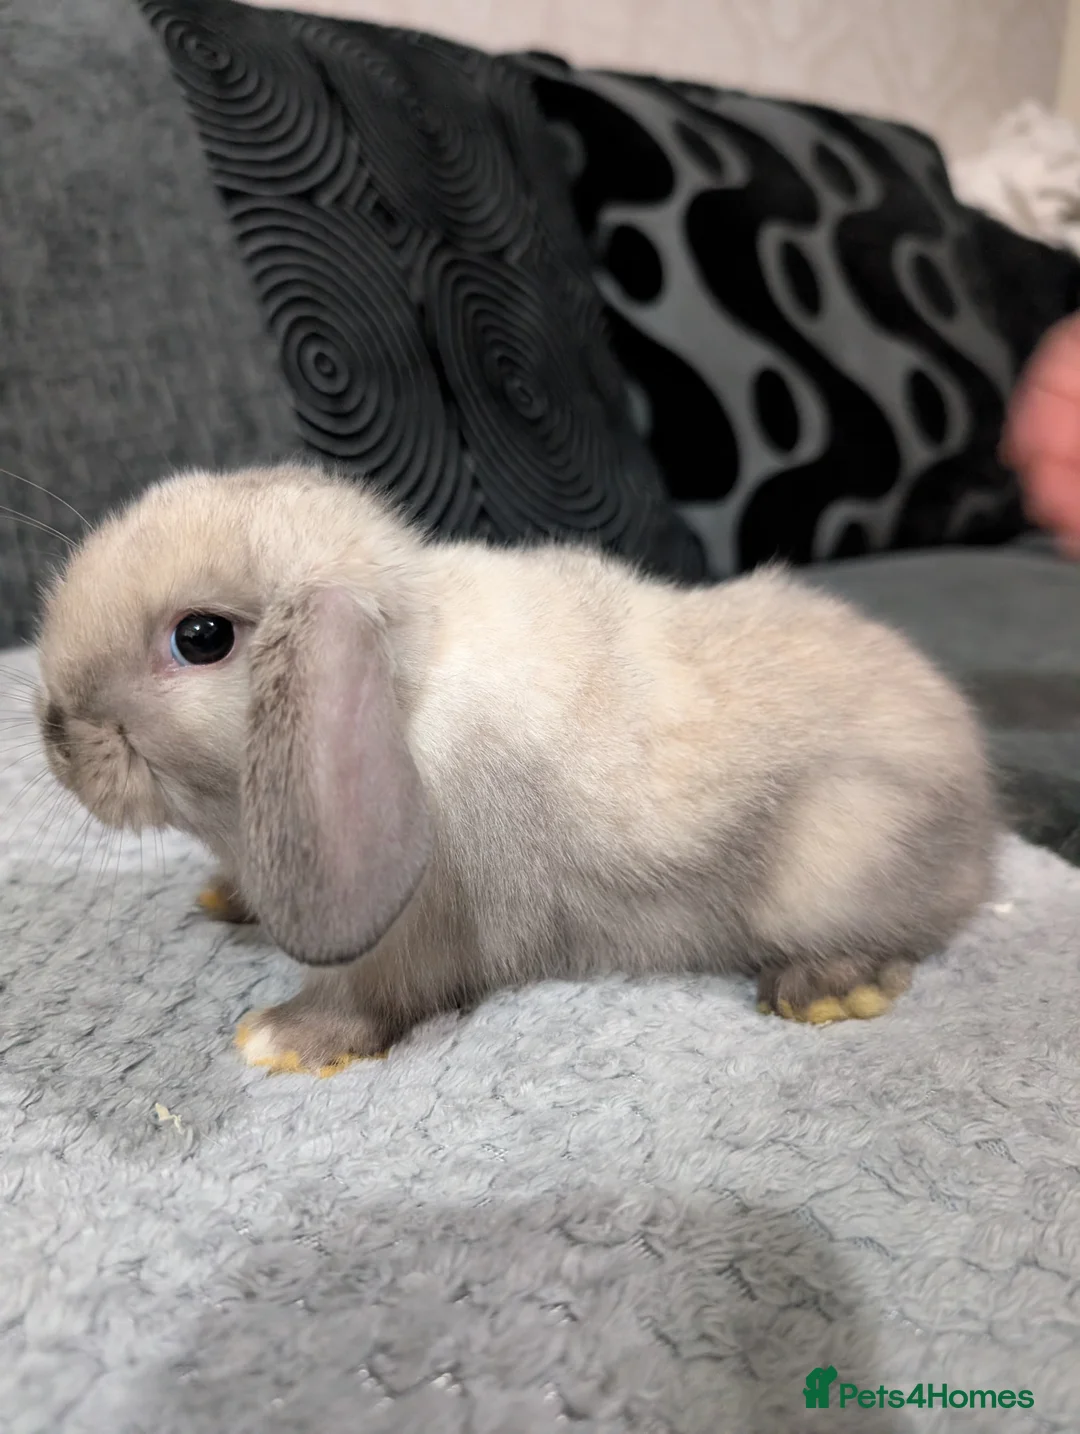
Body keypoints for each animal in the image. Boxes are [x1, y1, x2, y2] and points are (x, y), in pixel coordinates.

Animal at [35, 462, 995, 1073]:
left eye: (201, 638)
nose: (53, 732)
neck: (407, 681)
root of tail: (979, 806)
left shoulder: (410, 932)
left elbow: (366, 998)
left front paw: (281, 1040)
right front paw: (228, 897)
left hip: (833, 863)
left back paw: (826, 990)